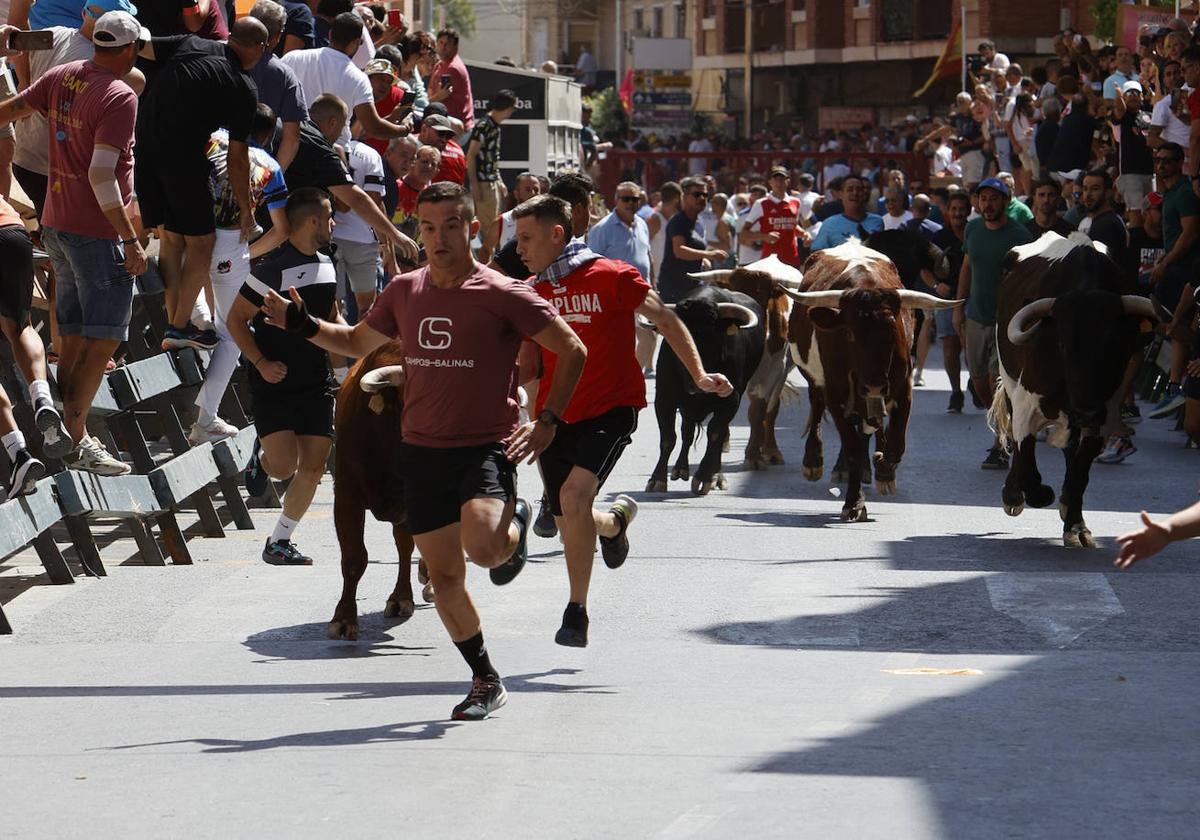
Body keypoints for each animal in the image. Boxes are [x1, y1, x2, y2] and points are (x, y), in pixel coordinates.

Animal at [782, 240, 960, 520]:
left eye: (892, 331)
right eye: (849, 333)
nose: (875, 385)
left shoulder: (902, 389)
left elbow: (895, 444)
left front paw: (883, 469)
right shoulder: (837, 394)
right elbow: (853, 446)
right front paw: (854, 502)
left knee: (867, 426)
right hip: (816, 380)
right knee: (818, 405)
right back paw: (816, 462)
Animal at [984, 232, 1161, 547]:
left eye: (1117, 346)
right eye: (1063, 345)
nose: (1087, 411)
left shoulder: (1105, 415)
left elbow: (1079, 472)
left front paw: (1075, 523)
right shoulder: (1027, 406)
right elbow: (1026, 459)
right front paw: (1033, 494)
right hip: (1011, 385)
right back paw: (1014, 493)